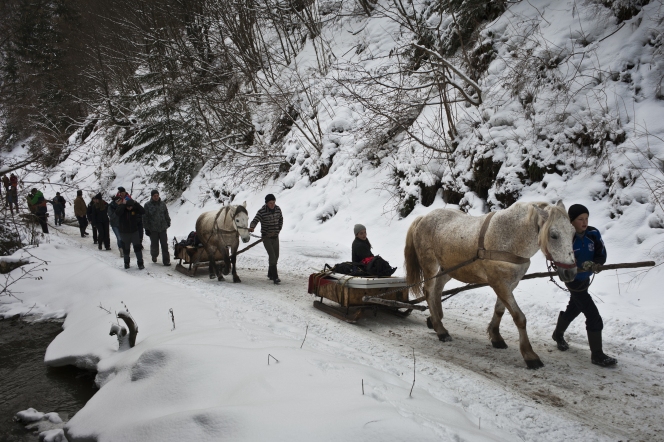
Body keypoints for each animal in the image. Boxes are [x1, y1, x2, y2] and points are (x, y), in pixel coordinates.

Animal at [402, 202, 580, 368]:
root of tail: (423, 218)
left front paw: (496, 337)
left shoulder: (510, 283)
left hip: (449, 267)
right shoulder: (499, 282)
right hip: (430, 265)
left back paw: (435, 319)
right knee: (429, 291)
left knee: (437, 289)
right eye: (554, 235)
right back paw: (441, 330)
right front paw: (530, 355)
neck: (511, 236)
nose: (571, 273)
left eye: (573, 233)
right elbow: (519, 317)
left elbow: (500, 310)